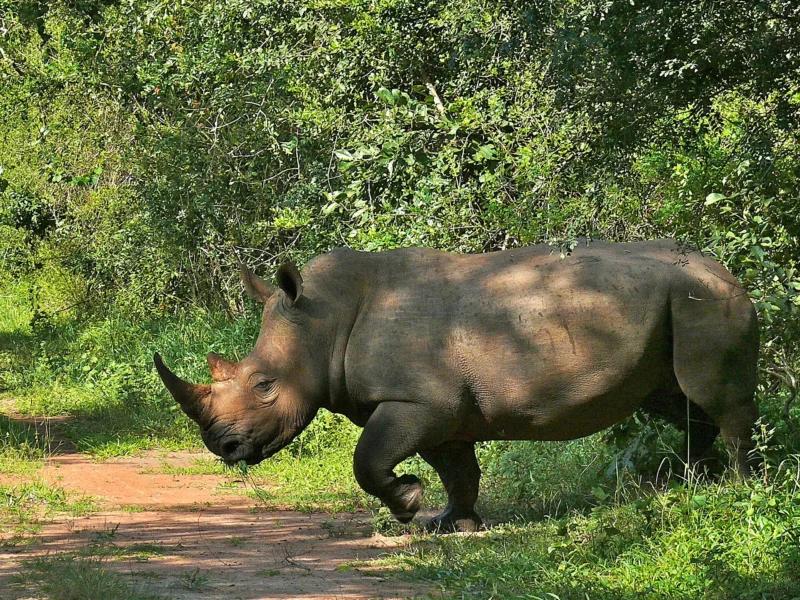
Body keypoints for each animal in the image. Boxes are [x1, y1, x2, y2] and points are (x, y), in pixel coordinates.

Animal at [154, 239, 760, 531]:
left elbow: (367, 459)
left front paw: (407, 504)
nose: (223, 446)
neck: (322, 320)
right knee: (677, 402)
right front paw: (451, 524)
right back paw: (686, 481)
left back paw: (735, 488)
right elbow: (458, 470)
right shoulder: (441, 411)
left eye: (263, 385)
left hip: (703, 301)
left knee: (716, 399)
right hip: (678, 304)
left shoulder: (418, 400)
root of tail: (727, 270)